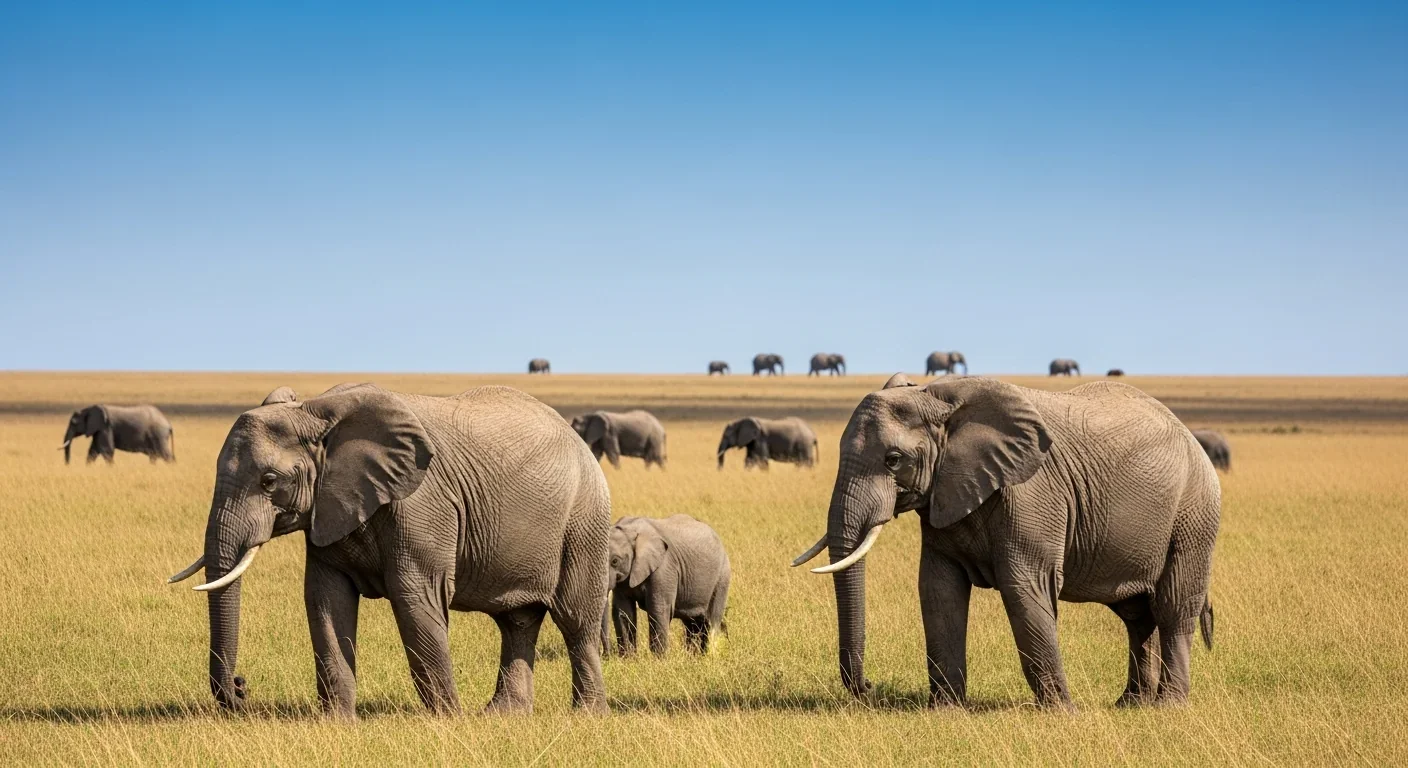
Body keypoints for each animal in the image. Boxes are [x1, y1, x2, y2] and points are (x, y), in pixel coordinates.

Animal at [166, 383, 611, 717]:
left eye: (269, 481)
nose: (241, 688)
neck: (316, 412)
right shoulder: (329, 506)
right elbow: (326, 601)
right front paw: (337, 723)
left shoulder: (421, 504)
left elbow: (415, 598)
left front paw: (449, 720)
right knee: (516, 622)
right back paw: (503, 716)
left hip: (584, 518)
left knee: (575, 620)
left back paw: (585, 715)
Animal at [602, 515, 731, 657]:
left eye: (615, 561)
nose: (606, 655)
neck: (630, 529)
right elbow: (623, 611)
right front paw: (628, 659)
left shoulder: (664, 569)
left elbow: (658, 609)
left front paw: (659, 659)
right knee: (692, 623)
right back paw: (693, 657)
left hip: (722, 576)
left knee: (712, 620)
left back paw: (708, 656)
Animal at [792, 376, 1220, 709]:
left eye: (893, 460)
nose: (869, 686)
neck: (938, 398)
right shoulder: (945, 491)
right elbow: (938, 589)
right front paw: (946, 711)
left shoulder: (1032, 494)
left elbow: (1023, 588)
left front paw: (1061, 713)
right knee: (1136, 614)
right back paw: (1131, 704)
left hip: (1194, 514)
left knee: (1173, 607)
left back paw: (1168, 706)